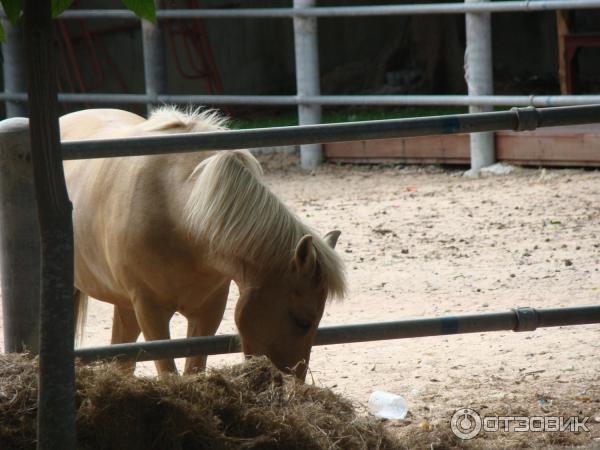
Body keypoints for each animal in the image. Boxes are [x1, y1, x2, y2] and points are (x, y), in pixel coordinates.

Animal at [61, 107, 346, 378]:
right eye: (302, 321)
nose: (294, 380)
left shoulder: (209, 310)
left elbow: (193, 369)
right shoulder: (150, 310)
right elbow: (169, 373)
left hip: (124, 305)